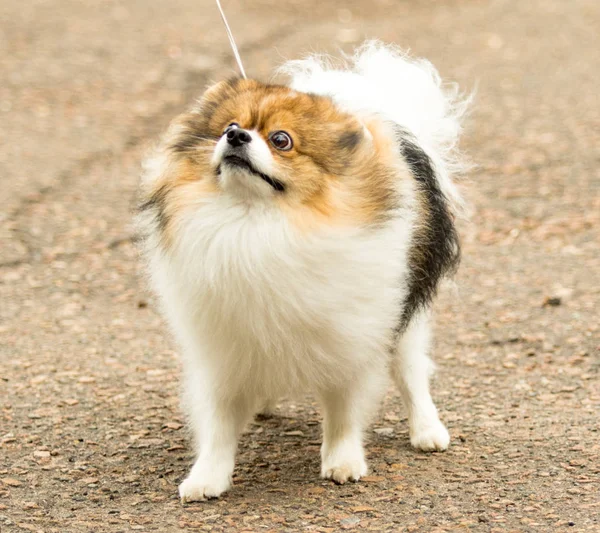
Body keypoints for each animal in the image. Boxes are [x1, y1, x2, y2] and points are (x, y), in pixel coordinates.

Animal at [137, 42, 468, 502]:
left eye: (282, 140)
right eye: (230, 126)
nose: (235, 137)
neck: (256, 224)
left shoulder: (350, 337)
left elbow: (343, 407)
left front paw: (342, 461)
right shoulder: (222, 347)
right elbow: (219, 420)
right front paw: (207, 477)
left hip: (405, 315)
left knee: (411, 372)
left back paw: (427, 430)